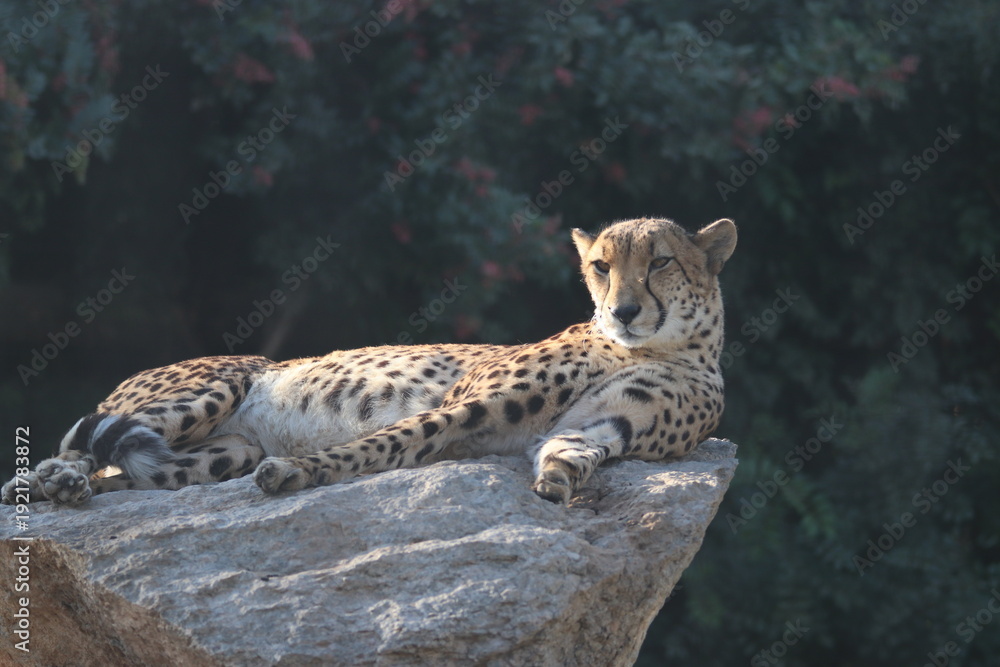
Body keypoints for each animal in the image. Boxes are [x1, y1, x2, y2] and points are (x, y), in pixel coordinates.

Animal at [2, 216, 736, 508]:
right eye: (600, 266)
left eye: (659, 261)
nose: (623, 311)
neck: (664, 344)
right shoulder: (469, 402)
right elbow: (388, 441)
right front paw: (299, 472)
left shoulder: (604, 427)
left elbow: (571, 452)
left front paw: (558, 482)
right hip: (209, 388)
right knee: (75, 448)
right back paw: (47, 481)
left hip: (219, 452)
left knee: (129, 469)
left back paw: (72, 488)